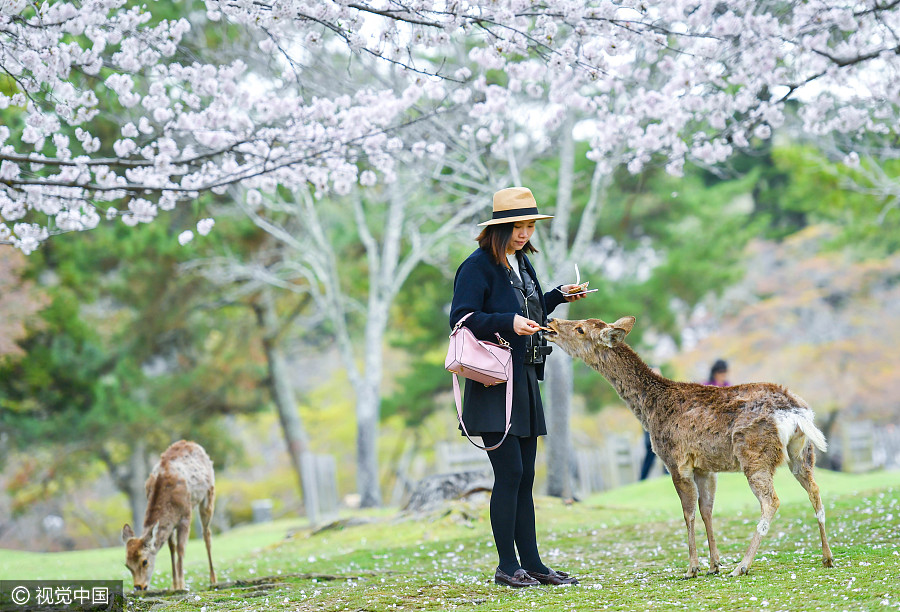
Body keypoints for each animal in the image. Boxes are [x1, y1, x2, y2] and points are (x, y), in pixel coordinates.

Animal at [121, 440, 218, 592]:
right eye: (127, 564)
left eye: (145, 561)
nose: (139, 586)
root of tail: (192, 443)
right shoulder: (171, 522)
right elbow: (172, 547)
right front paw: (174, 585)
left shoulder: (185, 516)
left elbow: (181, 548)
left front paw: (182, 585)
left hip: (209, 494)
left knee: (206, 533)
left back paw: (213, 579)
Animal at [544, 318, 832, 576]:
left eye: (580, 328)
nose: (551, 322)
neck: (650, 412)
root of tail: (796, 412)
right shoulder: (705, 467)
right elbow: (707, 510)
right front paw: (714, 565)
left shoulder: (675, 460)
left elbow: (688, 512)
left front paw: (693, 567)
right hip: (802, 454)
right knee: (815, 491)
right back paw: (827, 557)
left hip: (755, 453)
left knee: (772, 501)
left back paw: (742, 565)